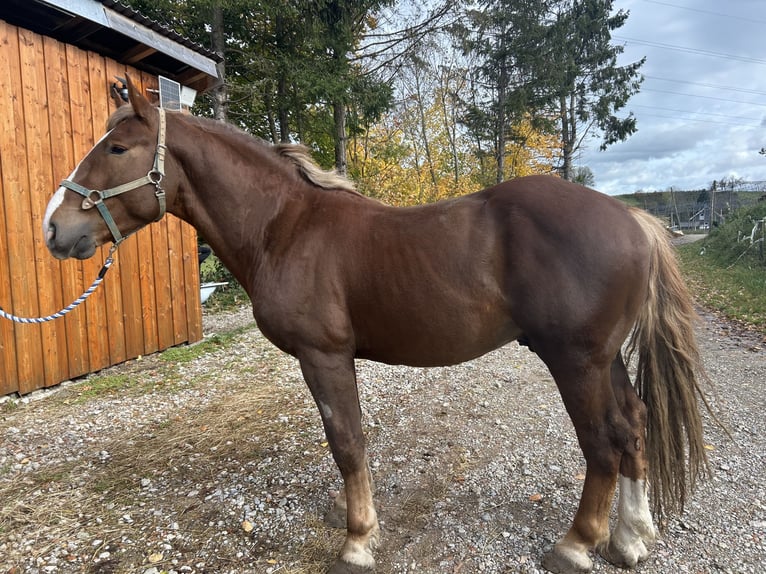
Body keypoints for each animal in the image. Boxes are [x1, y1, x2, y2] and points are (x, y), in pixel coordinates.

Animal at [42, 76, 710, 574]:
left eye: (117, 149)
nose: (54, 228)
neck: (284, 226)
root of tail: (632, 220)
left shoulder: (325, 356)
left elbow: (347, 443)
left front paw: (358, 542)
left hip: (576, 361)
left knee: (602, 443)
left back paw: (577, 545)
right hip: (605, 359)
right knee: (633, 426)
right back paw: (631, 538)